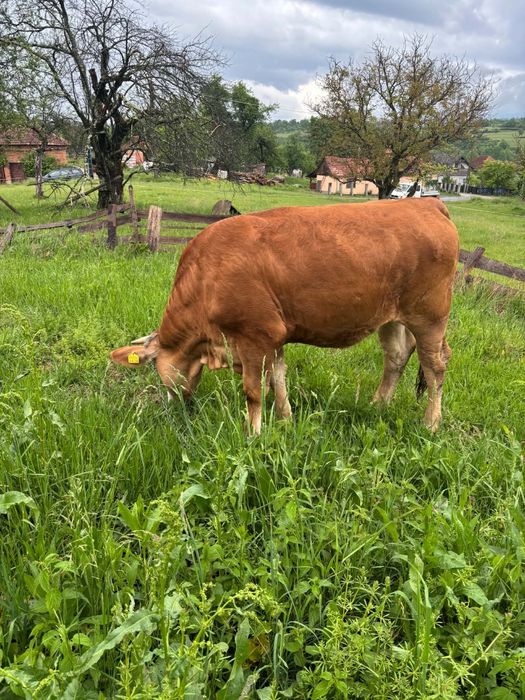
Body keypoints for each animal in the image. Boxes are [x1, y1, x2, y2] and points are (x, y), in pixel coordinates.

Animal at [110, 198, 459, 433]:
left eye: (155, 367)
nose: (174, 408)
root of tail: (427, 203)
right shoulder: (272, 335)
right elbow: (278, 377)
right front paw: (285, 419)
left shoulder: (253, 336)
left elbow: (254, 391)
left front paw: (253, 434)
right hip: (392, 317)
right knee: (397, 355)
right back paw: (377, 404)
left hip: (429, 317)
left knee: (435, 367)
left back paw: (431, 423)